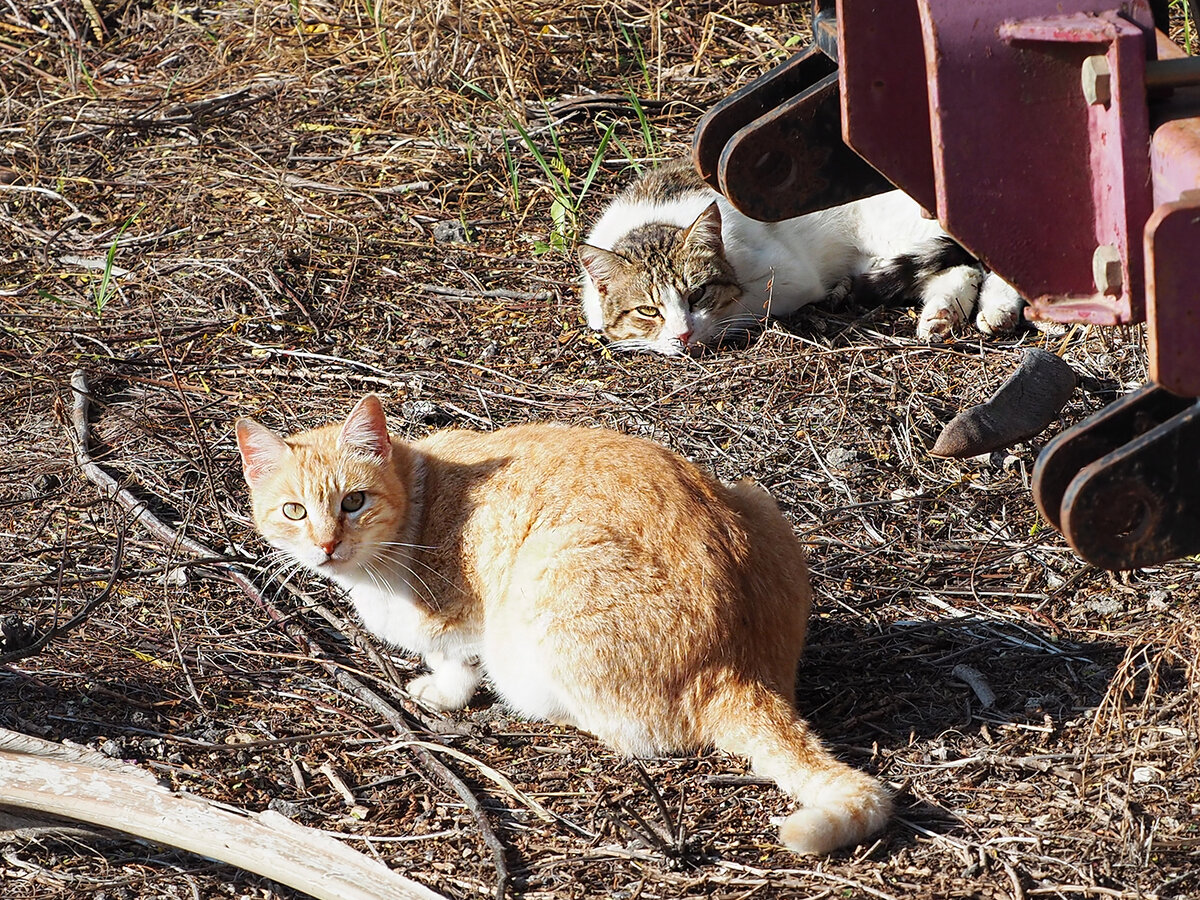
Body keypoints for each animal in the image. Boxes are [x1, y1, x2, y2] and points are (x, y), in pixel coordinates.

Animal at [236, 398, 892, 854]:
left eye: (354, 501)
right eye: (294, 511)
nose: (326, 546)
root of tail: (744, 667)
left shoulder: (467, 621)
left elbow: (455, 663)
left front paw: (442, 695)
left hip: (547, 582)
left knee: (625, 732)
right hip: (757, 501)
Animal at [580, 162, 1022, 355]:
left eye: (698, 294)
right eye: (647, 310)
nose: (683, 334)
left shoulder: (789, 278)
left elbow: (740, 309)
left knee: (991, 261)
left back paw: (999, 312)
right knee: (955, 269)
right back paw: (939, 317)